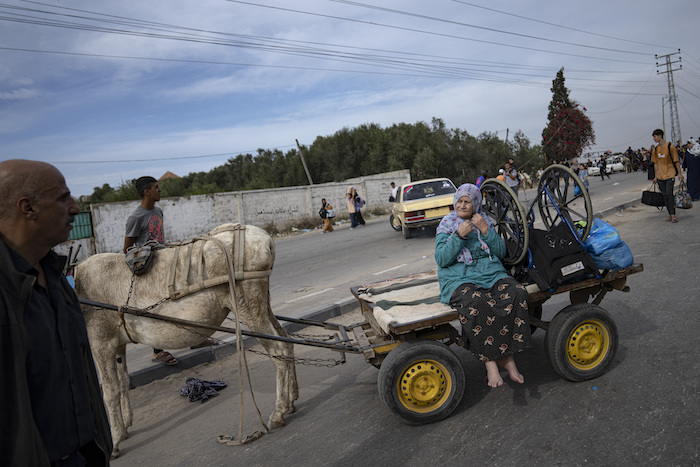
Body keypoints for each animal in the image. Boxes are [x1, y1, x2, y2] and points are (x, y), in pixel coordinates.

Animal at [74, 225, 298, 458]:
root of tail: (265, 239)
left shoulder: (101, 342)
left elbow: (109, 392)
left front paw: (115, 440)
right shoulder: (118, 344)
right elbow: (123, 382)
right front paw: (126, 426)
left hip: (248, 305)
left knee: (279, 350)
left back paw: (278, 412)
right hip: (262, 303)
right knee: (286, 340)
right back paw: (291, 401)